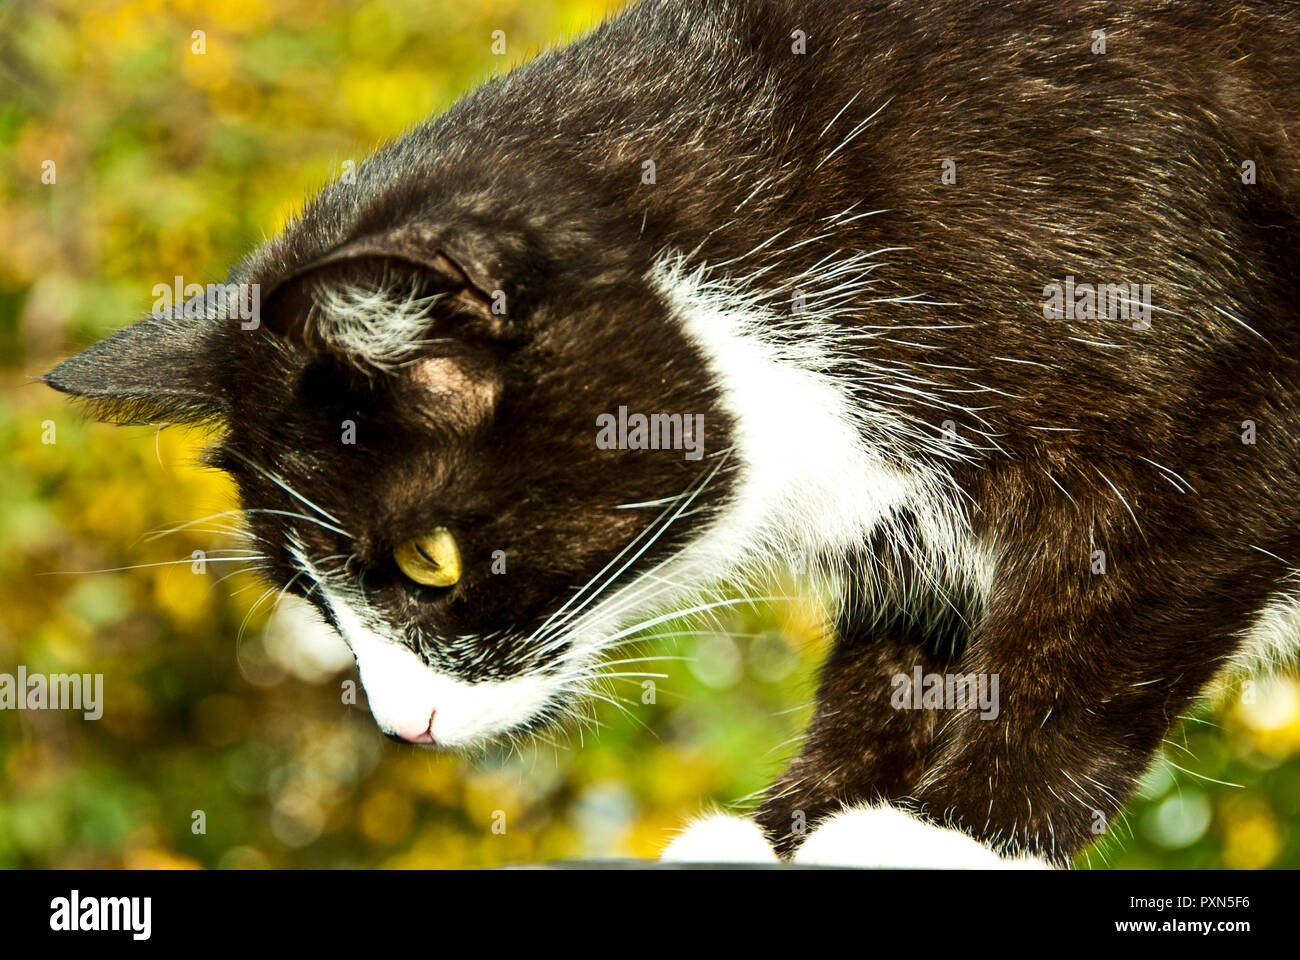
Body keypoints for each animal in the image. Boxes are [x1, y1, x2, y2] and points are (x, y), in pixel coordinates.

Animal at [40, 0, 1300, 868]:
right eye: (308, 598)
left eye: (428, 561)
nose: (407, 727)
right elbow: (912, 638)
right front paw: (794, 830)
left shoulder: (1206, 368)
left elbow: (1101, 618)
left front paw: (945, 835)